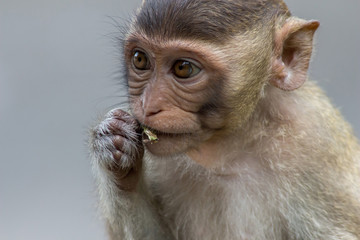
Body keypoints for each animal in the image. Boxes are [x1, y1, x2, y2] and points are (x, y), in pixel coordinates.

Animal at [89, 0, 360, 239]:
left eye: (183, 68)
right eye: (140, 59)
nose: (148, 106)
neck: (230, 150)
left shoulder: (317, 147)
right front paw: (114, 144)